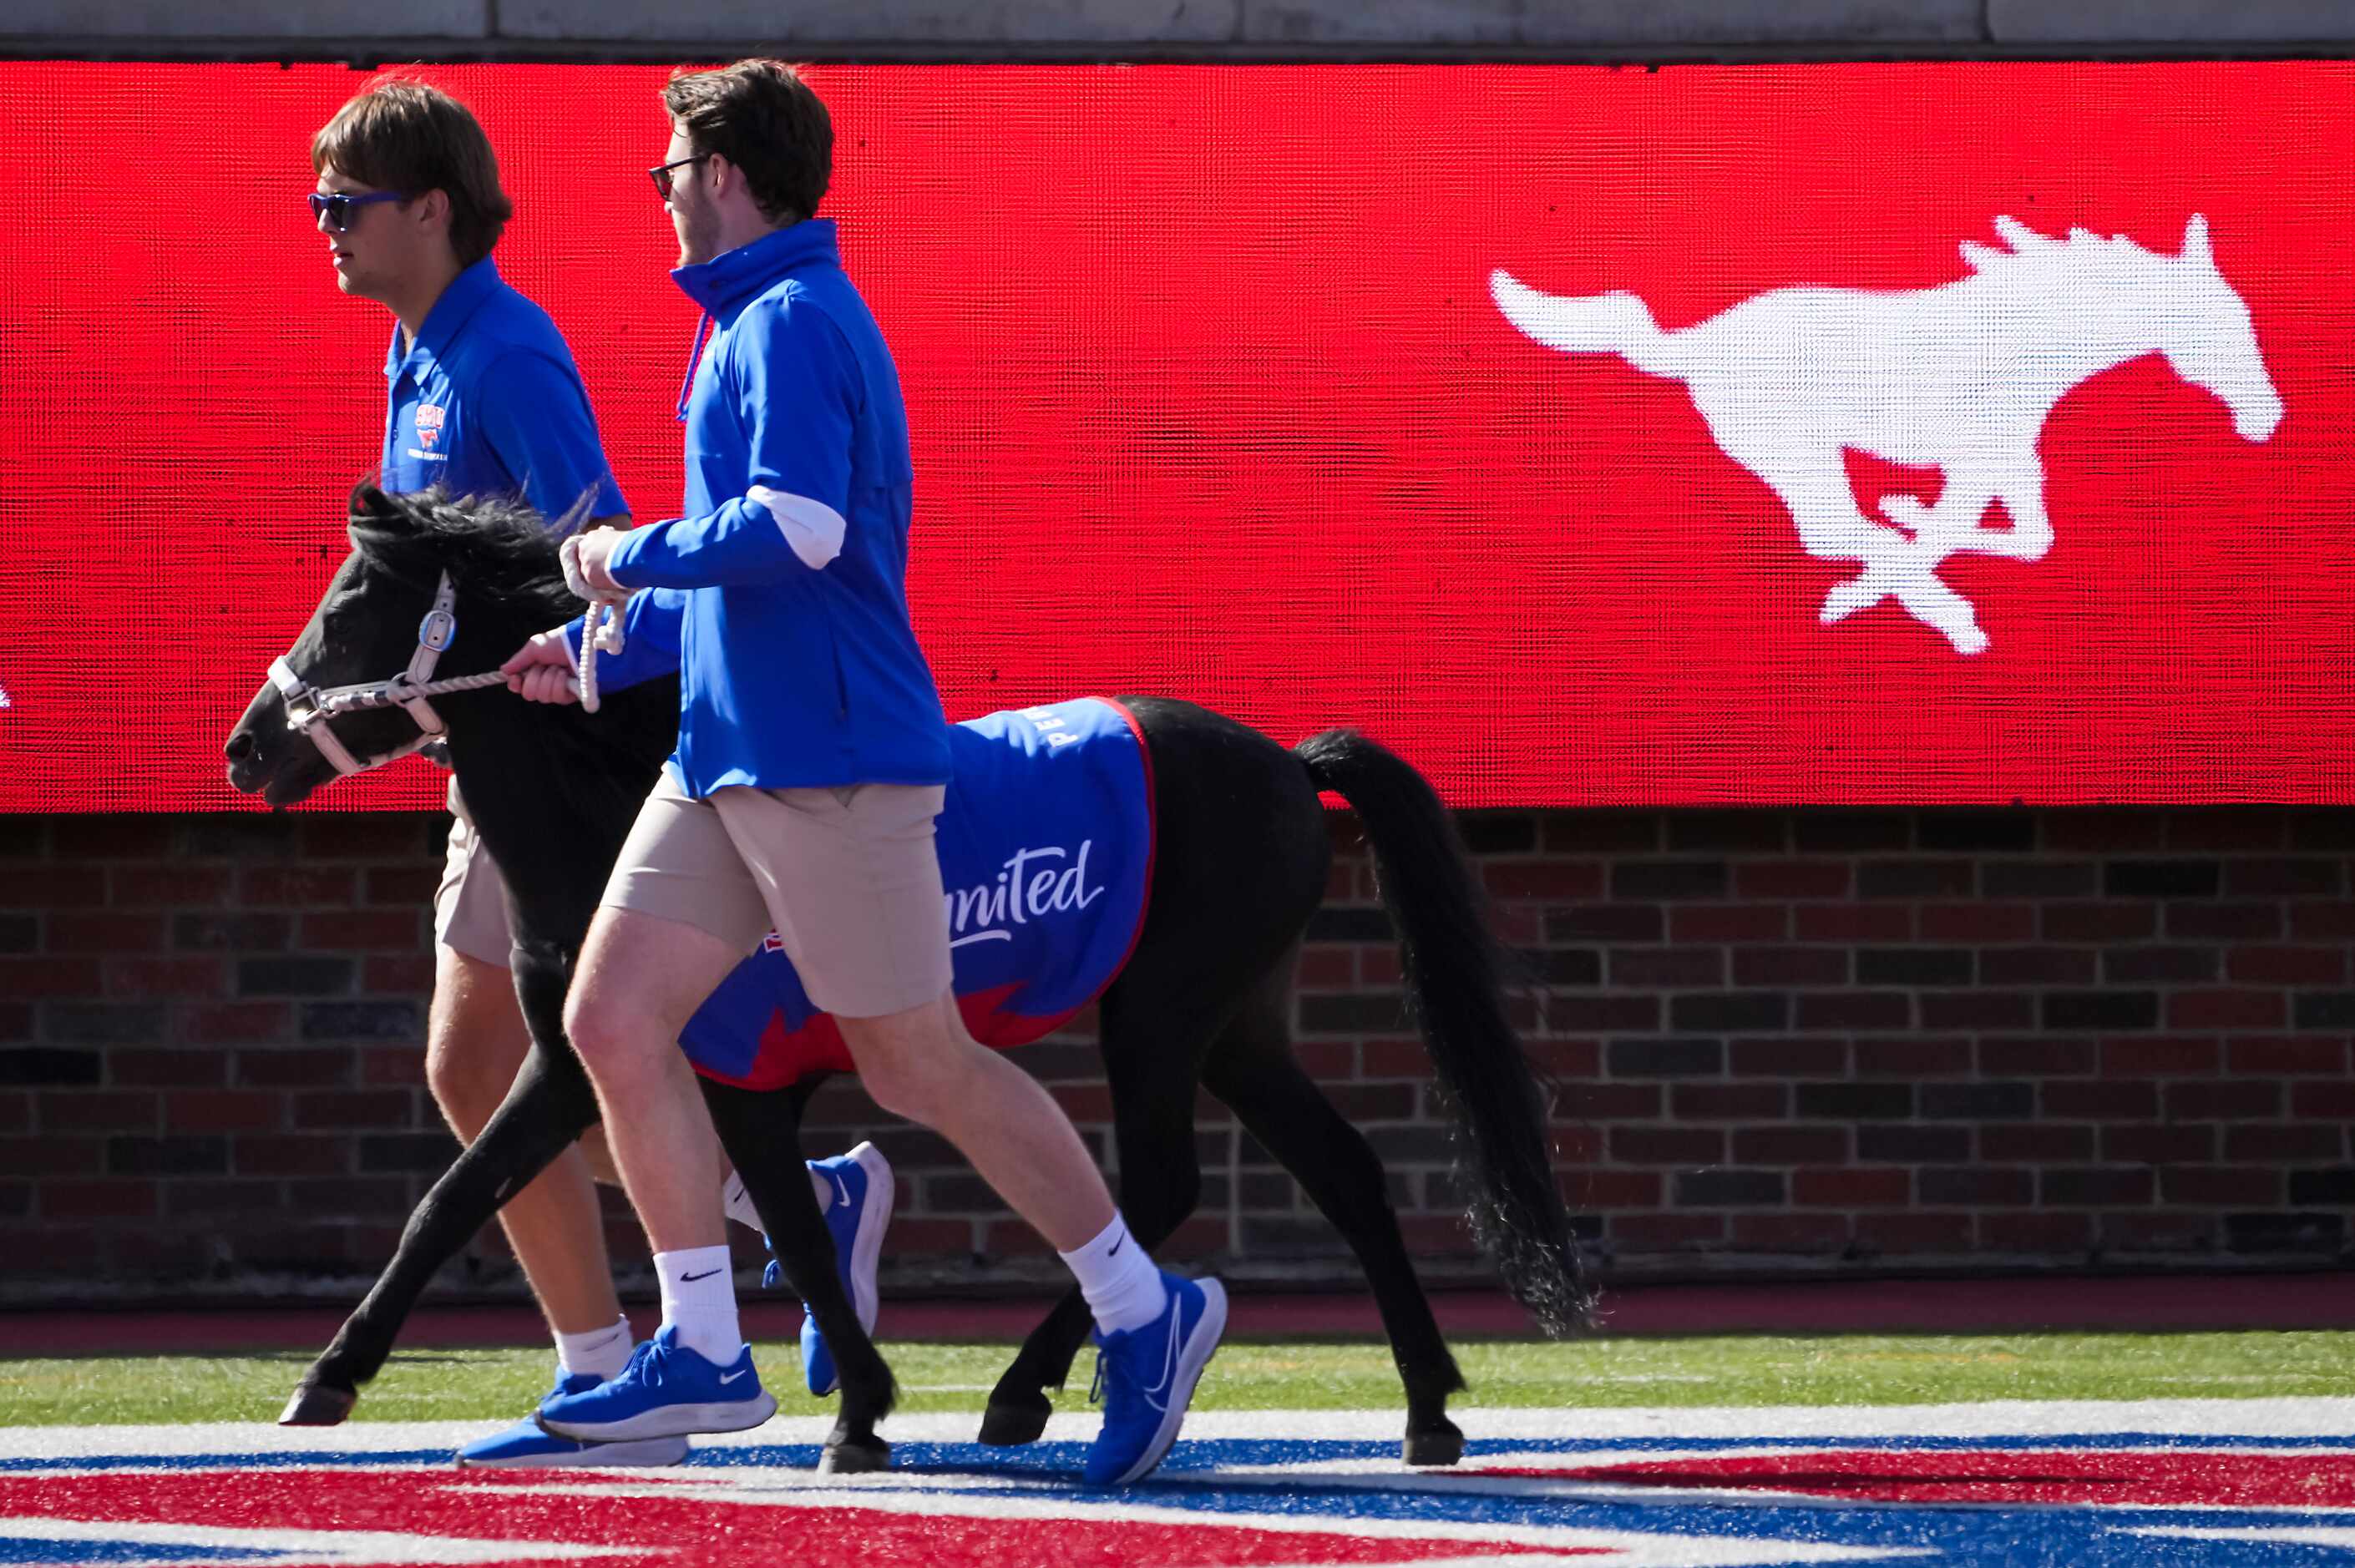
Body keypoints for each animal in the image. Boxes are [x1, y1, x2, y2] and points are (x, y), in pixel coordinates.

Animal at [225, 484, 1583, 1469]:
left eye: (349, 608)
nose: (243, 747)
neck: (622, 811)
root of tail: (1293, 767)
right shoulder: (589, 1062)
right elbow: (465, 1195)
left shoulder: (707, 1070)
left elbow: (562, 1200)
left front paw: (856, 1412)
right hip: (1240, 1025)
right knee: (1344, 1171)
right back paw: (1427, 1410)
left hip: (1160, 1016)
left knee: (1162, 1180)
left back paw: (1039, 1388)